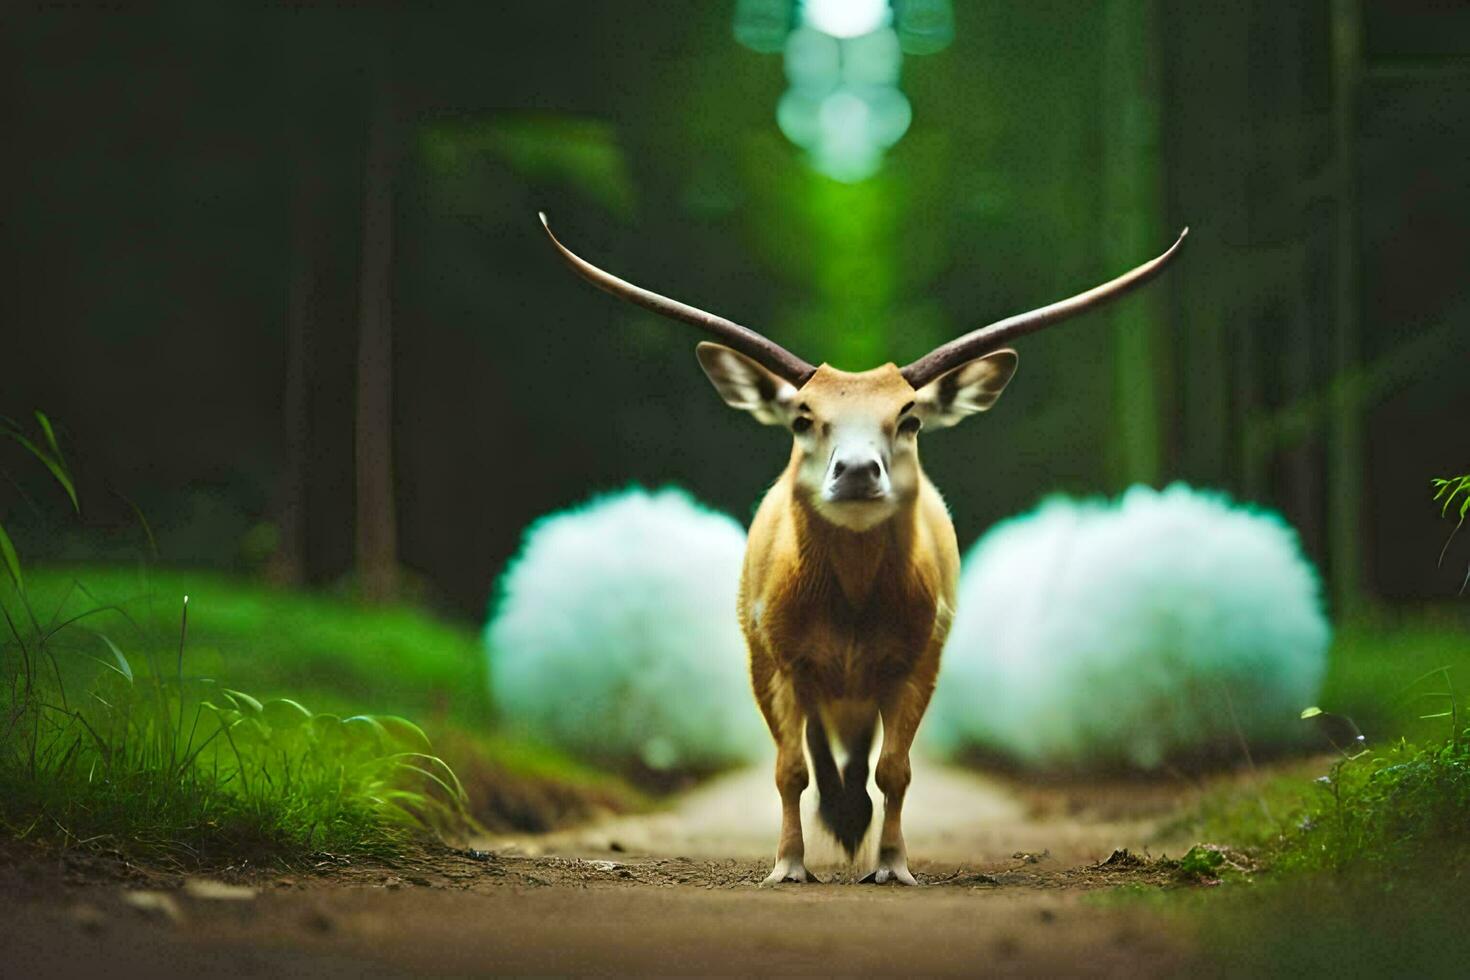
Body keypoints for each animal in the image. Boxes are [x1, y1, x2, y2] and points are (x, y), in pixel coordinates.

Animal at [538, 214, 1181, 887]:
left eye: (910, 418)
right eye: (802, 416)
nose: (855, 471)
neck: (848, 613)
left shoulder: (918, 656)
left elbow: (895, 769)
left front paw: (892, 864)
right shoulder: (774, 657)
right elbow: (790, 768)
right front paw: (790, 864)